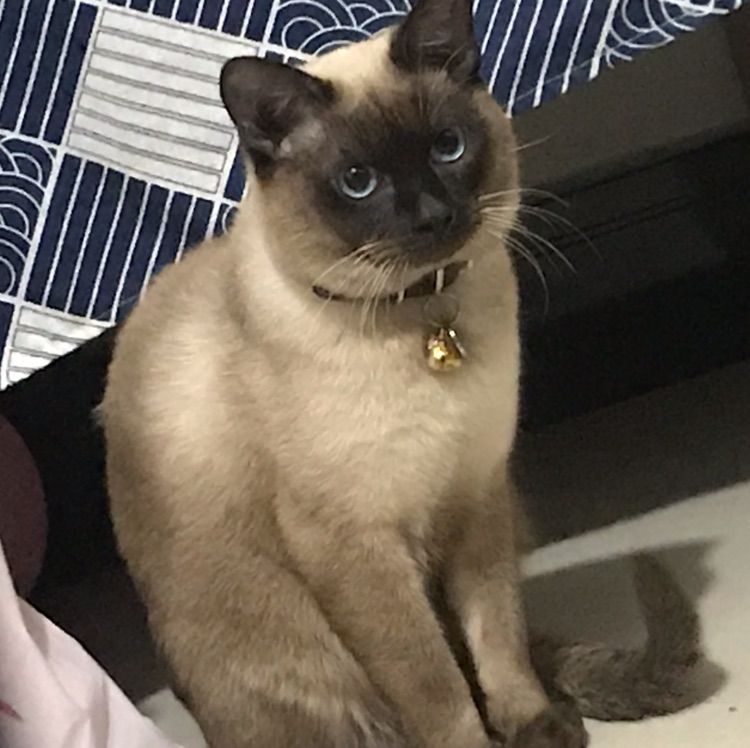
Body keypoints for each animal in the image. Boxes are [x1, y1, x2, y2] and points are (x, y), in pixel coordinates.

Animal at [100, 1, 701, 746]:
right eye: (358, 181)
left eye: (448, 146)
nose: (434, 216)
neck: (425, 315)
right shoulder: (357, 547)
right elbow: (436, 686)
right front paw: (484, 740)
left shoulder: (477, 494)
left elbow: (496, 640)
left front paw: (531, 724)